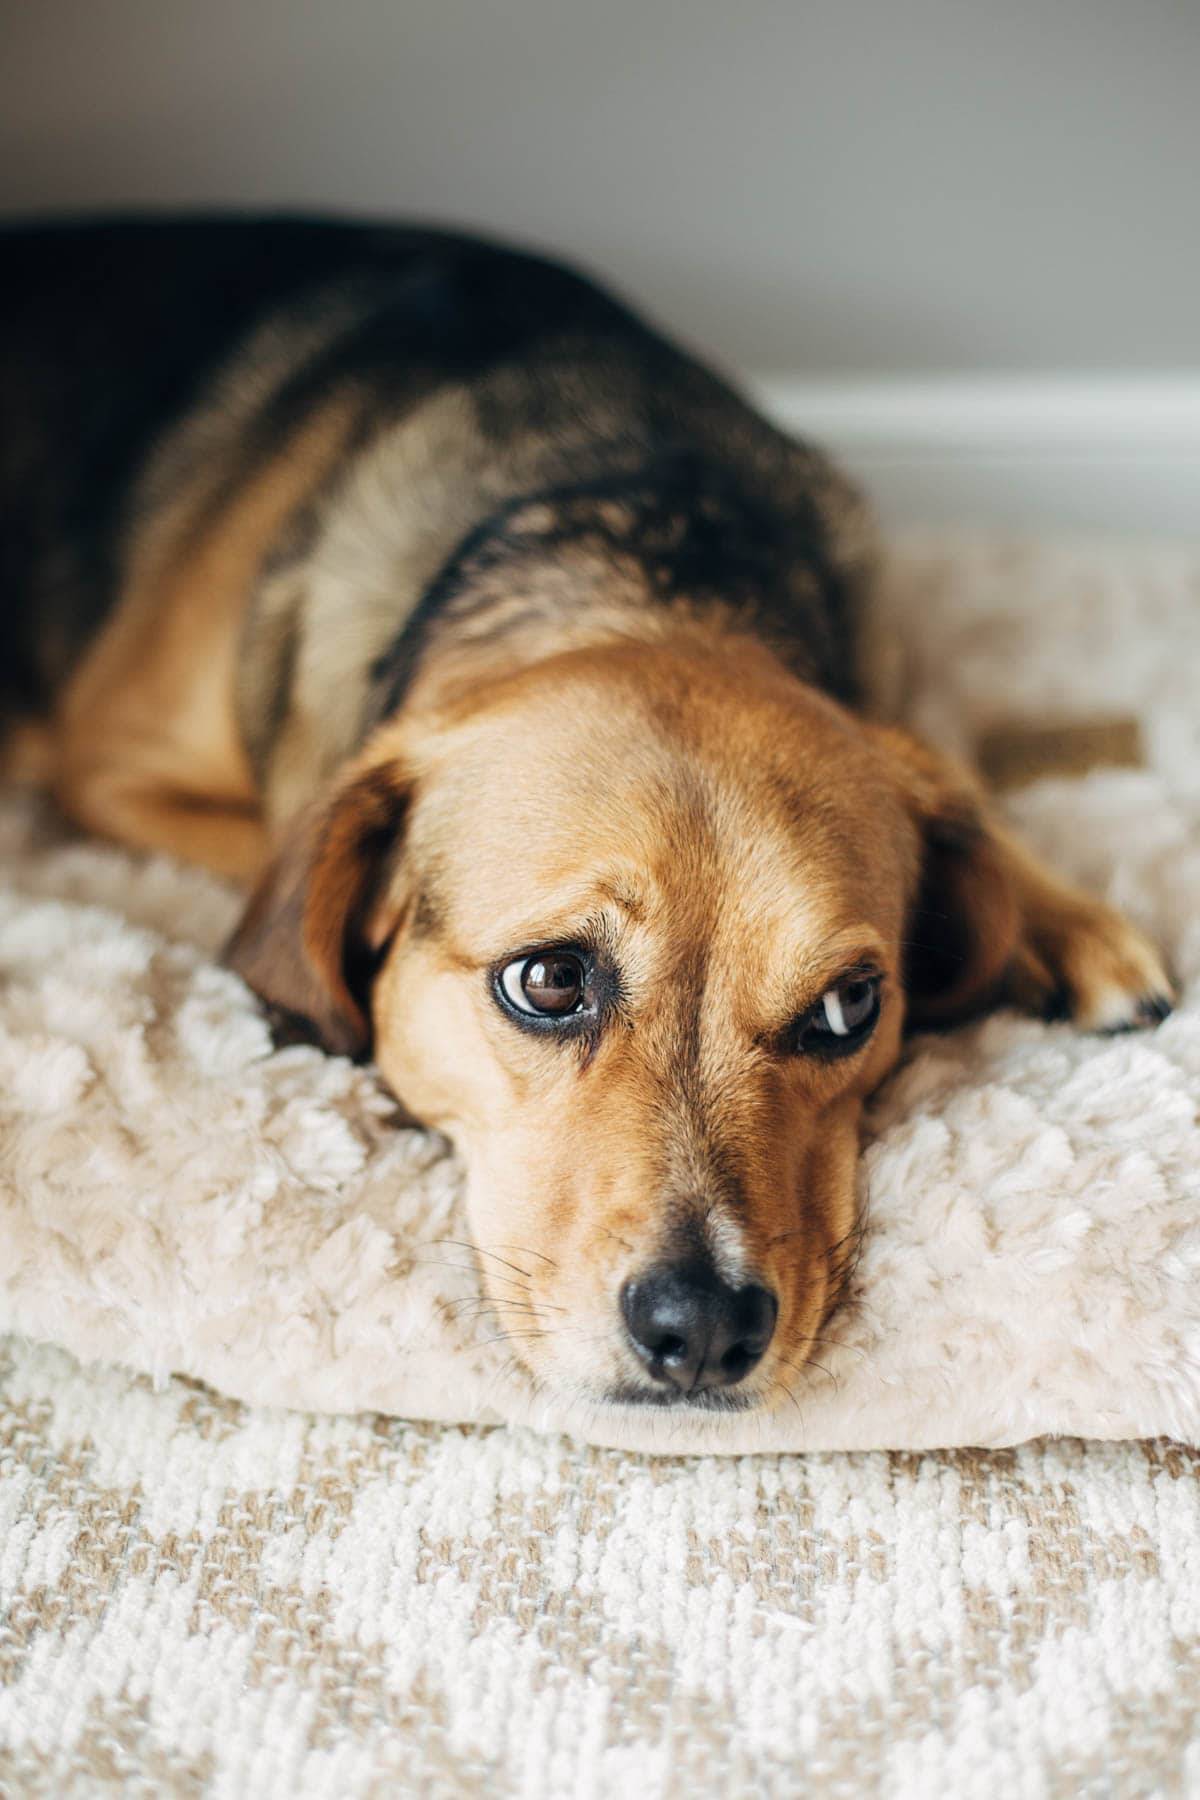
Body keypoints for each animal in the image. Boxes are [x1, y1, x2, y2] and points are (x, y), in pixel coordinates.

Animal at [0, 217, 1173, 1411]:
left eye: (850, 1007)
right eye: (552, 980)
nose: (705, 1329)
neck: (651, 567)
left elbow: (966, 796)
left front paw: (1064, 924)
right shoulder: (112, 768)